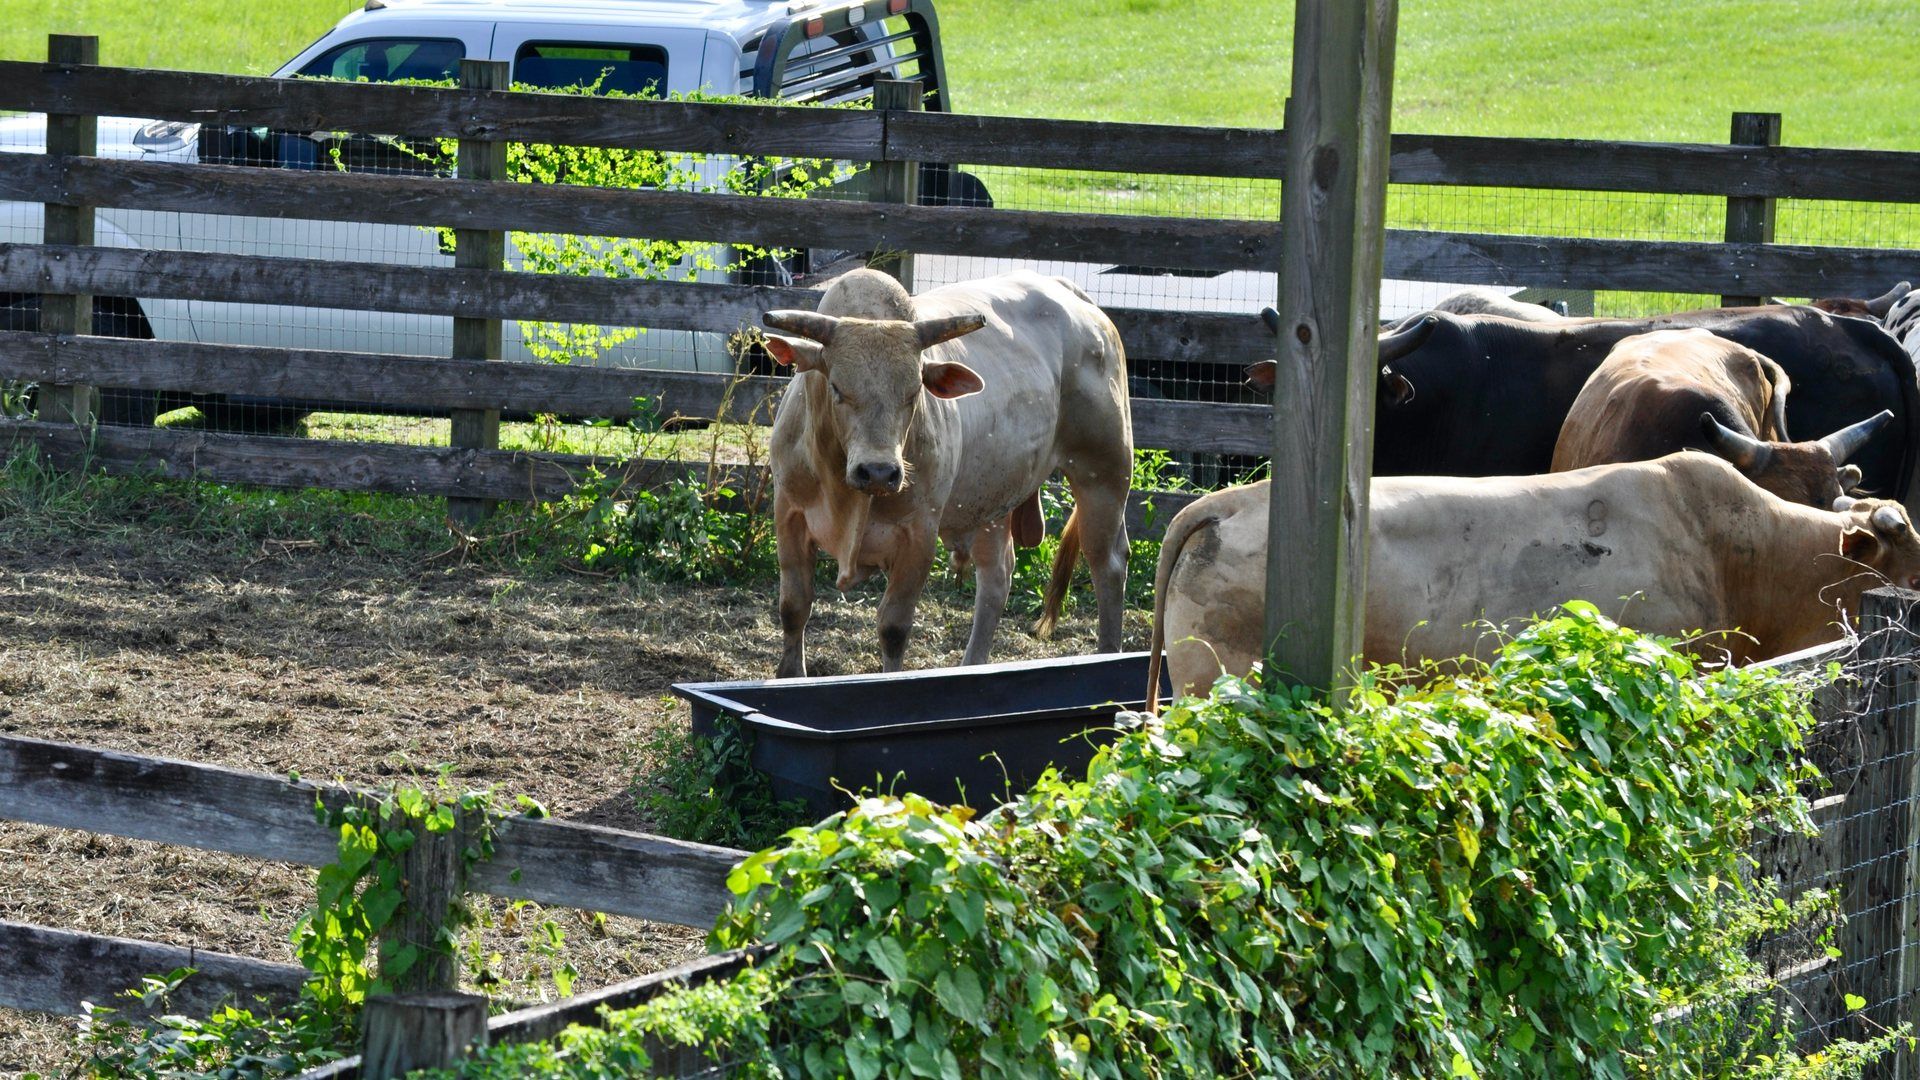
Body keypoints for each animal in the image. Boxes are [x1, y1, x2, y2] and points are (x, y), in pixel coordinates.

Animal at [763, 269, 1132, 678]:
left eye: (913, 393)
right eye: (837, 388)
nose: (878, 472)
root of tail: (1078, 298)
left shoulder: (918, 534)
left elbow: (893, 626)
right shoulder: (789, 514)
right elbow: (794, 607)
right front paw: (789, 674)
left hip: (1103, 473)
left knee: (1107, 563)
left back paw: (1107, 652)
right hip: (995, 500)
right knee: (997, 575)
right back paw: (973, 665)